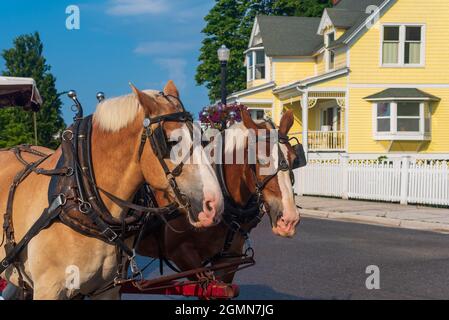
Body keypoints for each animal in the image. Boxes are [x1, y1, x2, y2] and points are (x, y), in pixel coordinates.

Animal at [0, 80, 224, 300]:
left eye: (203, 138)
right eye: (171, 142)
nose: (214, 204)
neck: (82, 199)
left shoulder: (107, 289)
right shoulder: (48, 289)